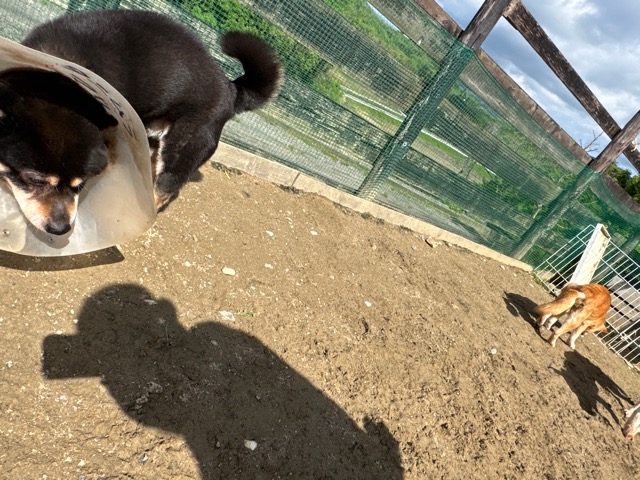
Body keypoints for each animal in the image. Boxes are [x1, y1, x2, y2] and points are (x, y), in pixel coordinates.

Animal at [0, 10, 282, 235]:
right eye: (35, 180)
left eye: (81, 184)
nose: (61, 229)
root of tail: (231, 88)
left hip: (180, 150)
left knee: (163, 191)